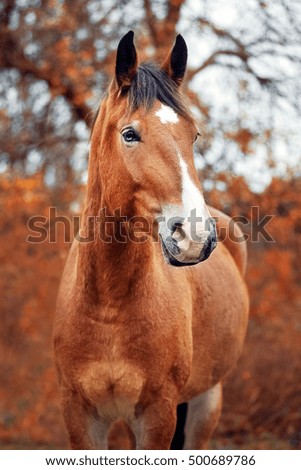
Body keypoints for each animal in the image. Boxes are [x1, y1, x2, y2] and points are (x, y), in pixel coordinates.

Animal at [53, 31, 248, 450]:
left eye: (194, 135)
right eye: (130, 134)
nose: (195, 237)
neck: (109, 306)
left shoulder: (158, 414)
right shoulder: (79, 415)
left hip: (207, 401)